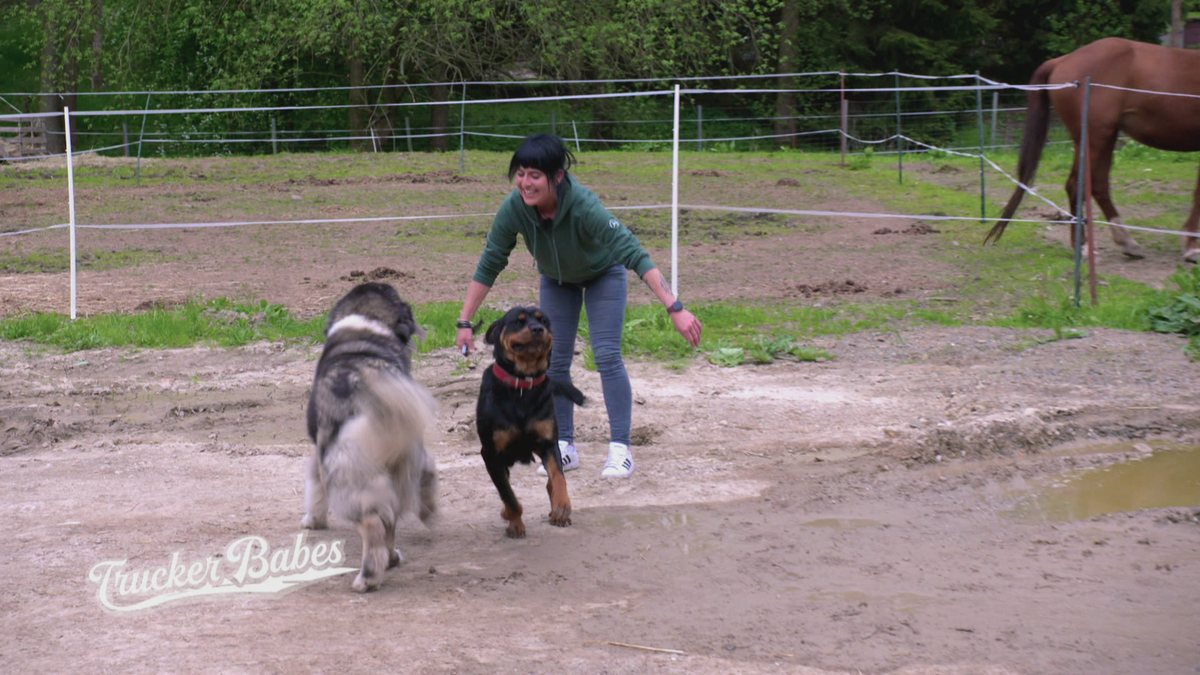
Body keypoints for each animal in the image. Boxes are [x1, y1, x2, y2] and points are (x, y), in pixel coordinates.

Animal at [302, 282, 439, 588]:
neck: (368, 325)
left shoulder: (320, 449)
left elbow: (314, 484)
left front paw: (313, 520)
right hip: (402, 468)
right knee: (391, 519)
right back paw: (395, 555)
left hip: (348, 480)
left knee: (373, 525)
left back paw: (368, 578)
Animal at [480, 305, 588, 535]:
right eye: (519, 321)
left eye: (544, 321)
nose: (538, 329)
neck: (522, 385)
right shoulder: (491, 454)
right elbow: (508, 495)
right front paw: (515, 522)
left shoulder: (548, 443)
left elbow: (558, 477)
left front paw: (562, 505)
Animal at [984, 38, 1200, 261]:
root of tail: (1061, 60)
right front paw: (1192, 247)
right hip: (1095, 139)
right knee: (1075, 185)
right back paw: (1083, 246)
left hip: (1106, 137)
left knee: (1098, 185)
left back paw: (1126, 242)